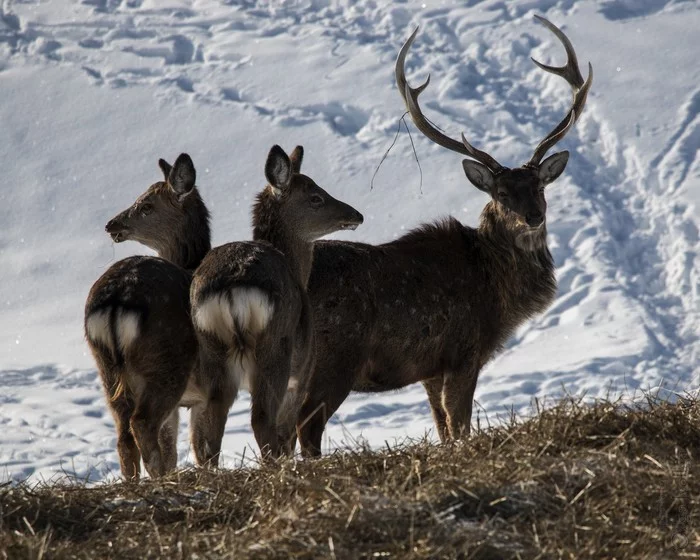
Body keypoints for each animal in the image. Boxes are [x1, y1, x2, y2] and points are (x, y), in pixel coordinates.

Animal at [85, 155, 211, 480]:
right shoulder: (203, 393)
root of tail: (116, 302)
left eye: (147, 206)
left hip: (107, 368)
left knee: (123, 435)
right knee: (141, 424)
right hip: (165, 362)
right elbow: (199, 449)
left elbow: (174, 448)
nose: (112, 224)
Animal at [189, 145, 364, 464]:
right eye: (316, 197)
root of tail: (233, 287)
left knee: (211, 425)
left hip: (211, 347)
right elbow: (289, 430)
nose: (356, 214)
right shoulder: (304, 369)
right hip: (275, 349)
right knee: (261, 419)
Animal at [296, 16, 592, 456]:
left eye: (539, 186)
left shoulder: (430, 369)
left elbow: (441, 426)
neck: (498, 295)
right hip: (335, 355)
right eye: (501, 193)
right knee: (306, 424)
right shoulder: (464, 352)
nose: (534, 217)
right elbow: (460, 423)